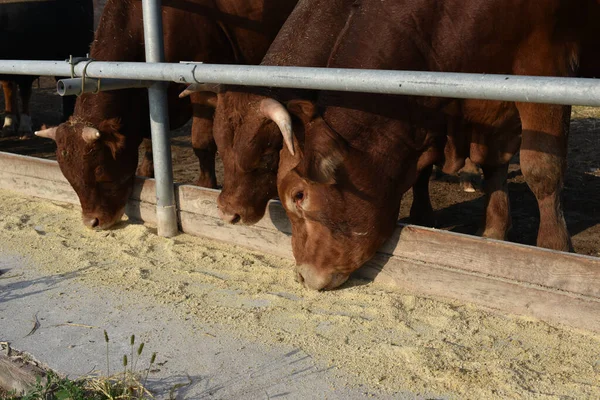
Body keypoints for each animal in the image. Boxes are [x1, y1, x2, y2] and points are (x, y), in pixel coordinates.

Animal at [35, 0, 298, 230]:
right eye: (67, 175)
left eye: (99, 170)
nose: (92, 222)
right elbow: (151, 143)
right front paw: (146, 173)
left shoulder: (202, 87)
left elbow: (201, 143)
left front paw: (205, 185)